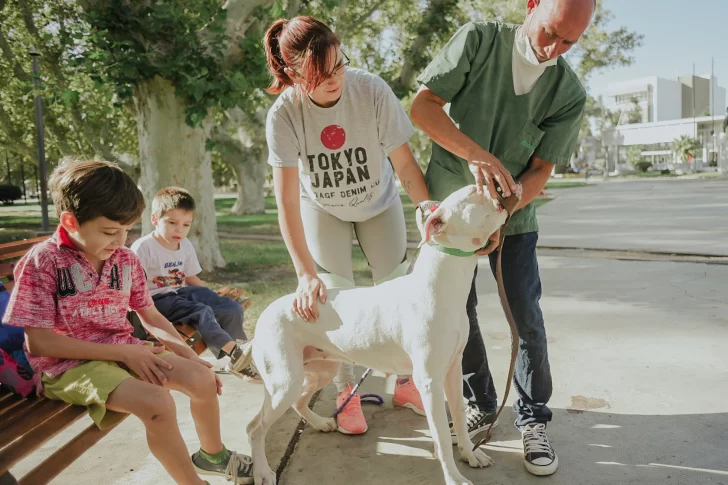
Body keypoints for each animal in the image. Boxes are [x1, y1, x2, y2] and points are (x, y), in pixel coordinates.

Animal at [247, 185, 510, 484]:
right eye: (472, 192)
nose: (493, 185)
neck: (442, 283)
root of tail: (266, 312)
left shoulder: (453, 370)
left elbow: (459, 419)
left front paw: (470, 455)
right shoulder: (430, 381)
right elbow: (443, 437)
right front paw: (454, 478)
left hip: (320, 368)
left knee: (299, 402)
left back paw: (321, 423)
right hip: (284, 382)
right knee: (255, 427)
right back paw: (263, 472)